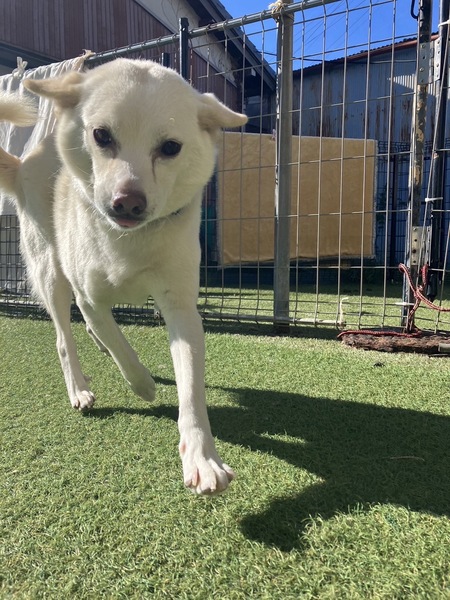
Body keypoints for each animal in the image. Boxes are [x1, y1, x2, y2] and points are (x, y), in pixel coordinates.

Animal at [0, 58, 247, 494]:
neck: (130, 240)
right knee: (65, 337)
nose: (128, 203)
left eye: (170, 148)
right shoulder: (89, 298)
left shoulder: (181, 309)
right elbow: (120, 345)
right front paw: (143, 384)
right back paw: (79, 388)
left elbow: (191, 388)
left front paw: (202, 458)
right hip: (51, 273)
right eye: (101, 135)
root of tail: (25, 160)